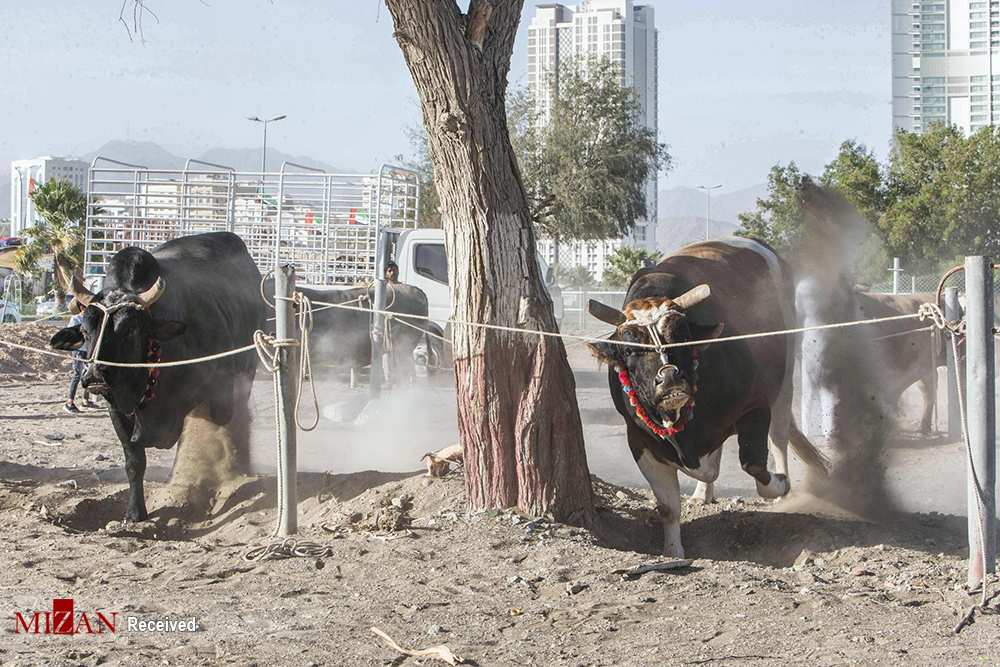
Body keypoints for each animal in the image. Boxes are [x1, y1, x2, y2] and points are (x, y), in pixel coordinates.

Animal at [51, 234, 264, 520]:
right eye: (85, 331)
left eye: (130, 329)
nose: (94, 374)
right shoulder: (117, 409)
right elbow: (134, 461)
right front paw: (135, 512)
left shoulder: (217, 388)